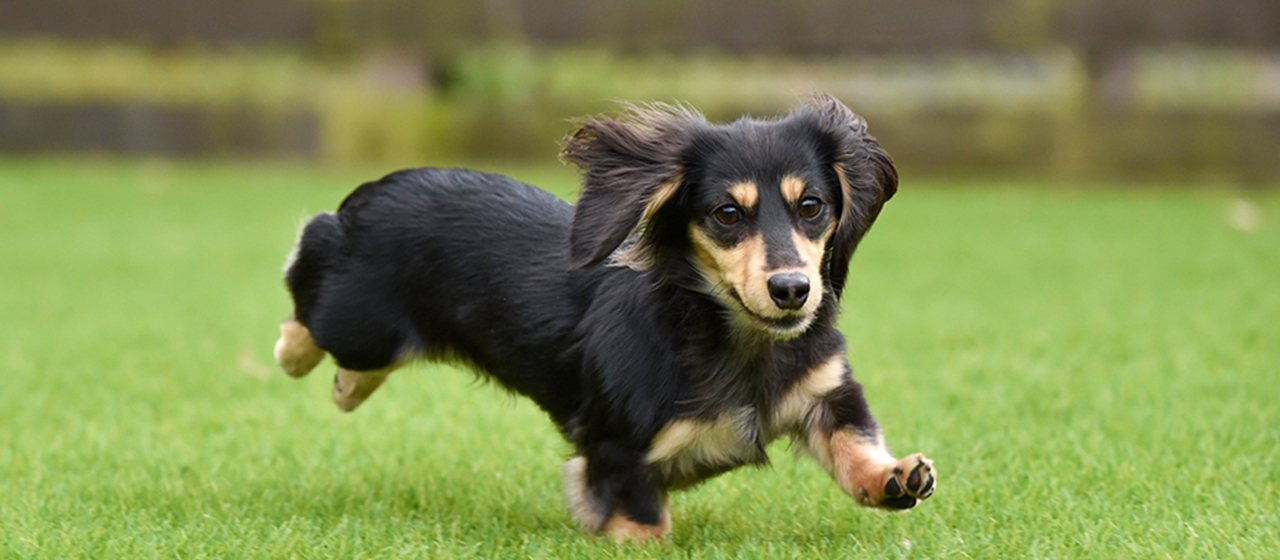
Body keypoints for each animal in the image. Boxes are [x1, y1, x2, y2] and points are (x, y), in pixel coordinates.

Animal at [272, 93, 931, 539]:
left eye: (812, 206)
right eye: (726, 214)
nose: (793, 290)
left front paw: (894, 477)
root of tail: (374, 190)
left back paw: (348, 387)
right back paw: (294, 352)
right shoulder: (616, 454)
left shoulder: (824, 392)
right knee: (308, 271)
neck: (734, 341)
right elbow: (643, 522)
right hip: (360, 320)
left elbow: (853, 442)